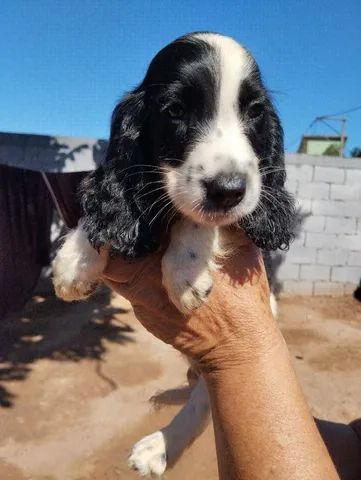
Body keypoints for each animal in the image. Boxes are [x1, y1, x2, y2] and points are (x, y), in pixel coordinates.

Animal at [53, 32, 296, 476]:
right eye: (176, 110)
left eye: (255, 112)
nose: (229, 189)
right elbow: (106, 209)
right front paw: (74, 262)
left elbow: (198, 218)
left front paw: (185, 271)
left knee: (204, 402)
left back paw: (160, 447)